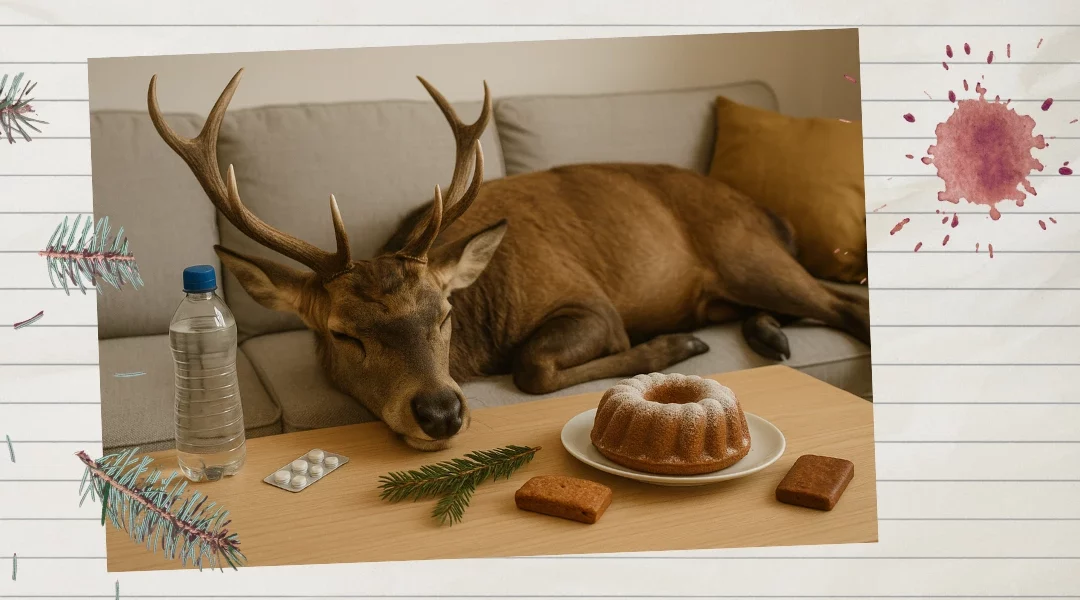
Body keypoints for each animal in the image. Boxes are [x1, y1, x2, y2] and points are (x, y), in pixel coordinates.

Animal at [147, 68, 870, 452]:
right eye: (344, 334)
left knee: (843, 301)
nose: (441, 413)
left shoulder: (591, 301)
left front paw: (675, 348)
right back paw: (768, 336)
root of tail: (766, 213)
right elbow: (532, 366)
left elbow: (531, 365)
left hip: (745, 251)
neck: (483, 328)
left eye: (443, 313)